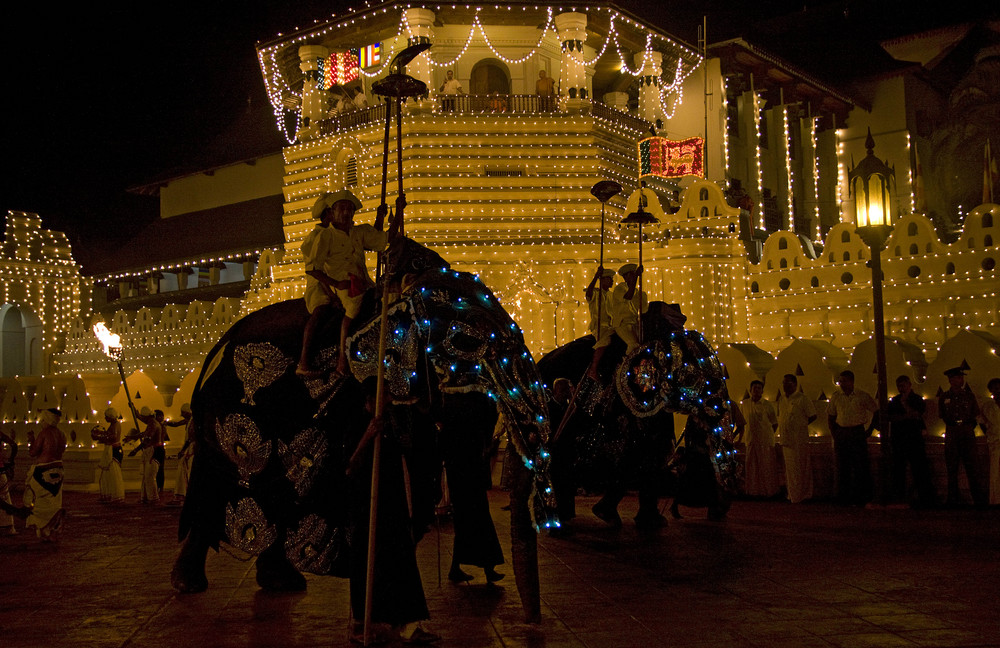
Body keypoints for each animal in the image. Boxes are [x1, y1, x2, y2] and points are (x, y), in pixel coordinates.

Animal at [174, 237, 564, 624]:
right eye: (466, 342)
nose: (547, 519)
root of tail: (216, 348)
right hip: (222, 428)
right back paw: (189, 583)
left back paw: (280, 580)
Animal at [536, 302, 740, 528]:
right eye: (691, 377)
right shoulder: (618, 396)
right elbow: (629, 449)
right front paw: (608, 515)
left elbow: (654, 448)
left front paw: (651, 522)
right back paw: (556, 518)